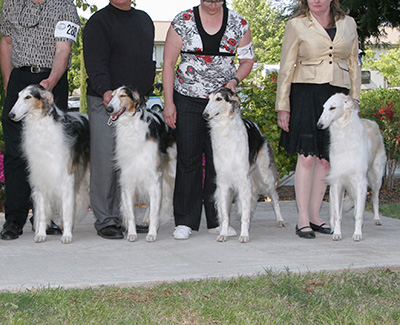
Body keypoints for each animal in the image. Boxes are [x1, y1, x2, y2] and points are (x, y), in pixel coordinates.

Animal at [8, 85, 90, 242]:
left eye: (28, 97)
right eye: (18, 96)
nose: (11, 115)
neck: (42, 127)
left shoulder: (66, 177)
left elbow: (66, 209)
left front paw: (67, 236)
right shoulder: (41, 176)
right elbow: (41, 213)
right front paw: (40, 234)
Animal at [107, 85, 176, 242]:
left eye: (123, 95)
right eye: (112, 96)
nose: (109, 108)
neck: (132, 126)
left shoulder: (154, 175)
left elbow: (154, 211)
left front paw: (152, 234)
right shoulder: (128, 178)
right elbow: (131, 214)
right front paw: (132, 234)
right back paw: (145, 221)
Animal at [203, 87, 284, 242]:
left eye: (219, 98)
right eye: (208, 99)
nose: (204, 114)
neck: (225, 131)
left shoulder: (243, 180)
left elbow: (245, 211)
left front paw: (244, 234)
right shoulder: (223, 182)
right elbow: (225, 214)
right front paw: (223, 234)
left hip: (265, 175)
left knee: (274, 198)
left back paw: (280, 220)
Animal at [318, 92, 386, 239]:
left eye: (332, 107)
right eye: (324, 107)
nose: (319, 125)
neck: (344, 135)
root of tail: (372, 122)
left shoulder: (360, 182)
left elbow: (359, 214)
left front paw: (357, 234)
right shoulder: (337, 181)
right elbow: (337, 214)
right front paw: (337, 233)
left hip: (376, 177)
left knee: (375, 198)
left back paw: (377, 218)